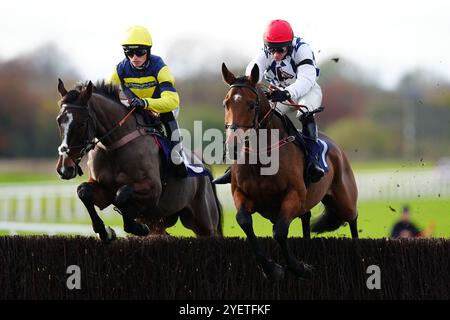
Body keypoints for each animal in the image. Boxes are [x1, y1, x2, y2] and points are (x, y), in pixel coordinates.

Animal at [55, 79, 222, 240]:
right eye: (59, 120)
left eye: (81, 123)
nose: (64, 168)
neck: (114, 146)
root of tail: (200, 163)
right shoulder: (104, 191)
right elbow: (83, 191)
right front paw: (105, 231)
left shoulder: (153, 190)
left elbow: (122, 194)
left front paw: (137, 227)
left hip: (204, 222)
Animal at [221, 63, 358, 280]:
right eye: (226, 103)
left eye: (251, 105)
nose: (234, 146)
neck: (262, 159)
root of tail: (336, 148)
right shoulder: (241, 194)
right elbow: (244, 221)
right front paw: (272, 268)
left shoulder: (294, 195)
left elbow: (279, 232)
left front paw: (299, 267)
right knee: (307, 219)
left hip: (344, 199)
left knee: (352, 219)